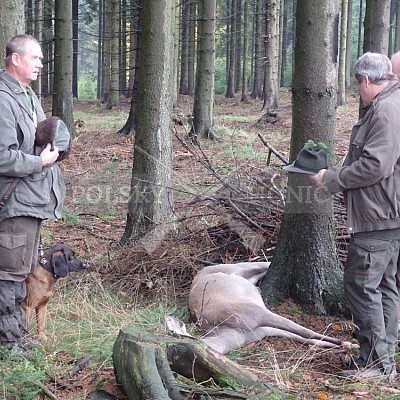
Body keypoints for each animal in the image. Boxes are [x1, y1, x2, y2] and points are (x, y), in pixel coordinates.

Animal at [188, 262, 354, 354]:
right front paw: (345, 344)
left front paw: (344, 343)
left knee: (256, 266)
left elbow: (305, 332)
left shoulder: (258, 317)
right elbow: (305, 335)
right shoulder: (261, 328)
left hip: (234, 272)